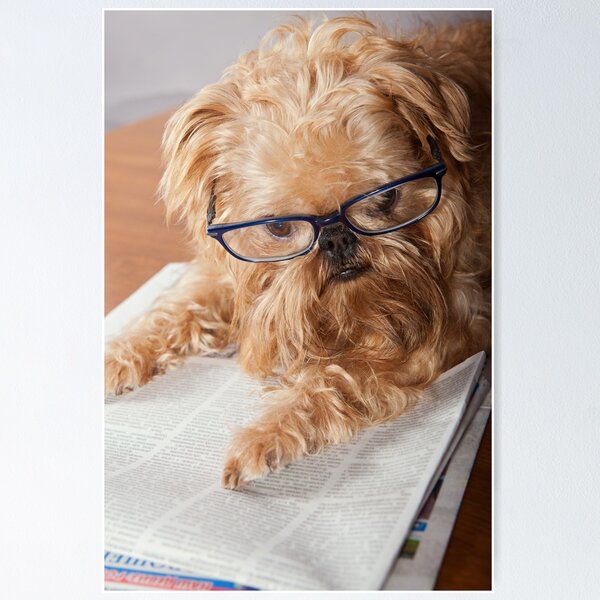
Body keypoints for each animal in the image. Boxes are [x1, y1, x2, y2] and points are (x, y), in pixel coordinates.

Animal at [105, 16, 490, 490]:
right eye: (279, 228)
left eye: (385, 199)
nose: (337, 239)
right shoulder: (224, 275)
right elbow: (178, 307)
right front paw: (116, 355)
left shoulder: (455, 318)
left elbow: (342, 374)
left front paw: (267, 433)